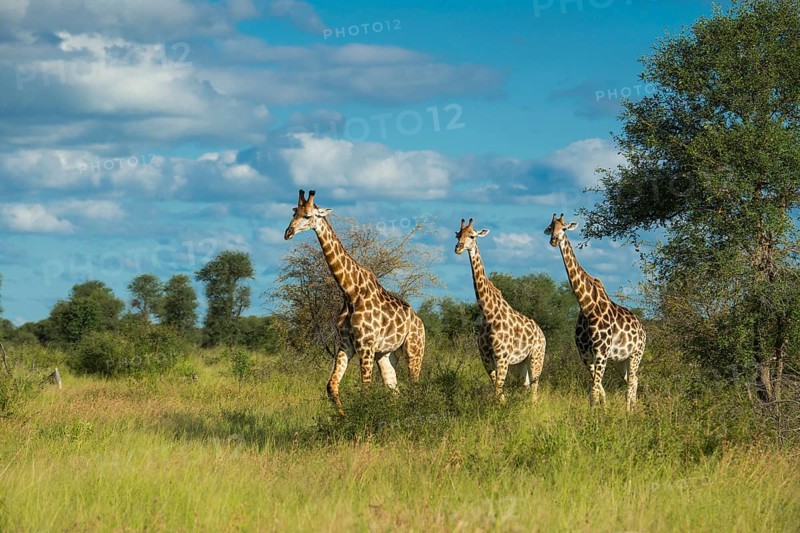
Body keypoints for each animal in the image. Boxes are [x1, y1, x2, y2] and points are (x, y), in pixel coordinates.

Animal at [283, 190, 426, 415]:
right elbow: (331, 386)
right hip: (386, 354)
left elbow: (365, 389)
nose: (288, 232)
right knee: (394, 388)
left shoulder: (365, 345)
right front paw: (342, 417)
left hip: (414, 349)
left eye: (307, 216)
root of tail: (420, 321)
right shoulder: (345, 344)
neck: (350, 292)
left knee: (414, 386)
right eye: (294, 212)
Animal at [455, 218, 546, 403]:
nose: (458, 248)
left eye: (472, 236)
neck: (488, 312)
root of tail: (542, 334)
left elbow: (498, 389)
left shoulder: (502, 356)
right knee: (525, 385)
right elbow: (497, 387)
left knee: (534, 387)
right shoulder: (485, 357)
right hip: (520, 363)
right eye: (457, 234)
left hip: (536, 356)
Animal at [544, 213, 646, 411]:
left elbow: (594, 390)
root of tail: (643, 329)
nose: (554, 240)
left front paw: (596, 416)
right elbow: (598, 389)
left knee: (631, 382)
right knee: (633, 379)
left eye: (564, 228)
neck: (586, 306)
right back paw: (633, 410)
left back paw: (630, 412)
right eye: (551, 227)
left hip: (636, 353)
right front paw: (602, 411)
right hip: (620, 360)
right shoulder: (585, 353)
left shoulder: (601, 351)